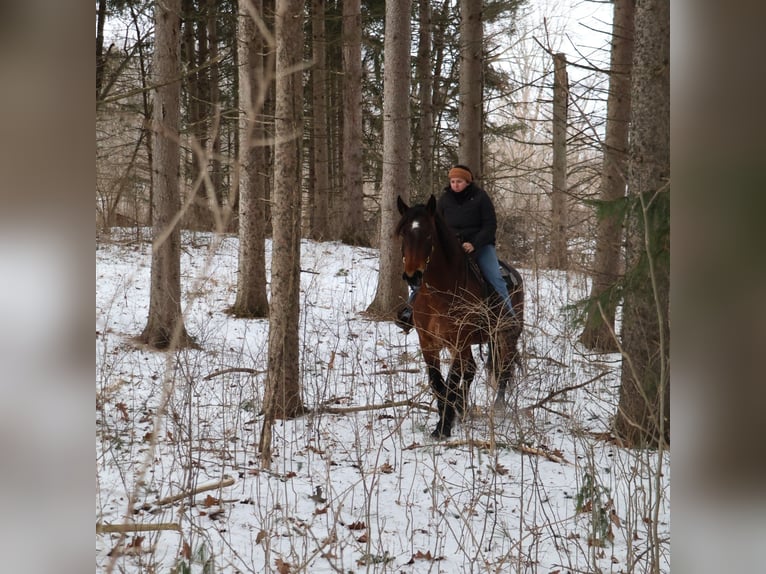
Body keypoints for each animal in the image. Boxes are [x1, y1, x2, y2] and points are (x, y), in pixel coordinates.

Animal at [395, 194, 524, 439]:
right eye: (403, 233)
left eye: (428, 233)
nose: (412, 275)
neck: (440, 293)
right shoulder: (428, 343)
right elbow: (438, 383)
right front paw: (445, 420)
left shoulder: (458, 340)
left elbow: (452, 381)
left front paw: (444, 426)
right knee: (472, 368)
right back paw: (462, 409)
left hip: (505, 336)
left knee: (504, 368)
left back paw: (498, 406)